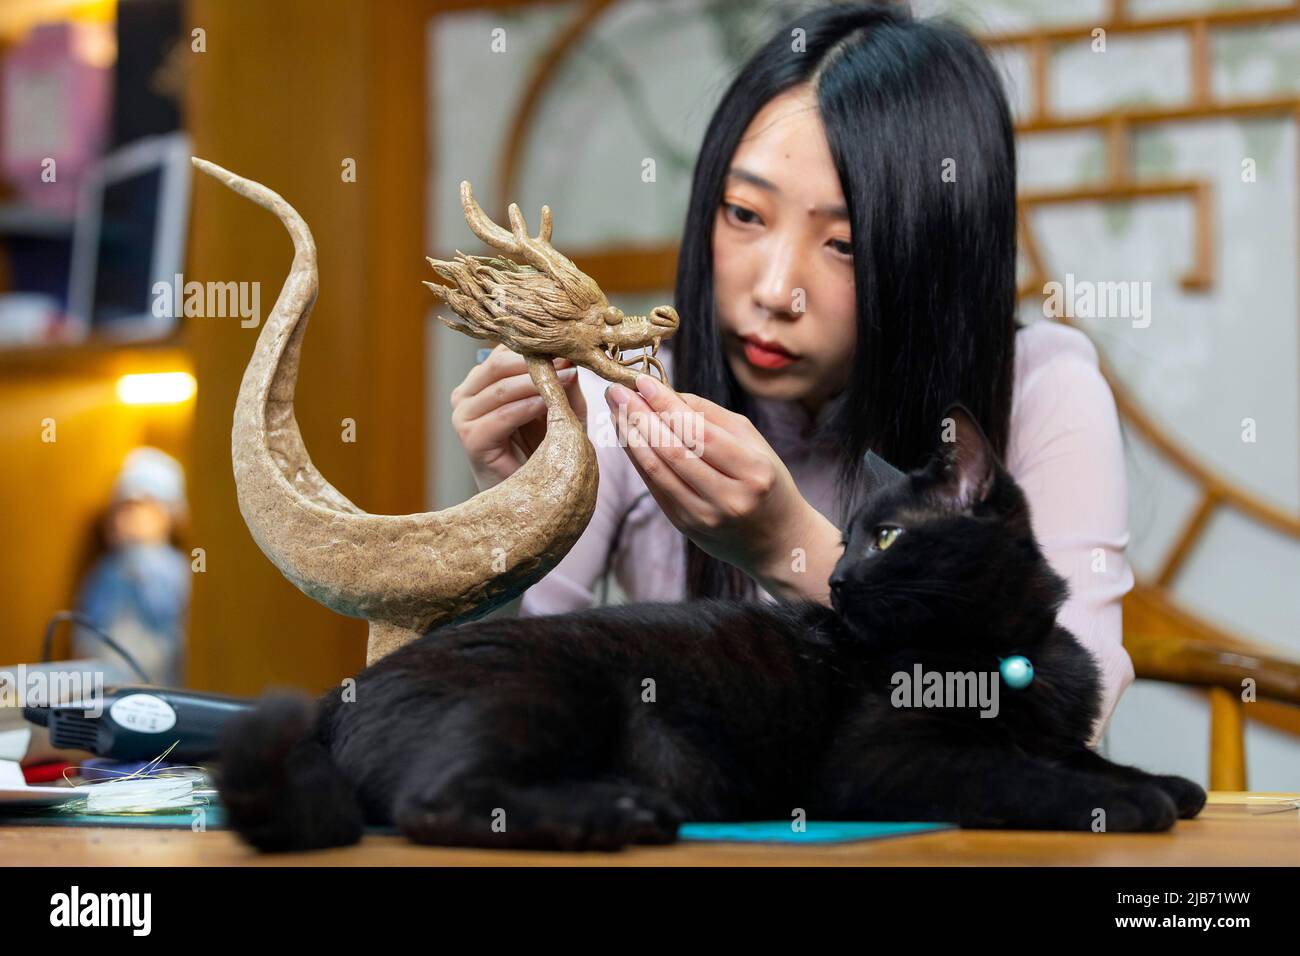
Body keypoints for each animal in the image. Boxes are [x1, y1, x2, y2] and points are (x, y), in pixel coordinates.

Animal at [218, 403, 1201, 853]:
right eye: (852, 536)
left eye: (883, 537)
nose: (836, 578)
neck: (1004, 652)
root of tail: (336, 699)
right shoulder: (882, 763)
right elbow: (1012, 773)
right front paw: (1121, 803)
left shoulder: (1053, 725)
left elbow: (1078, 755)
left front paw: (1160, 780)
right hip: (545, 687)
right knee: (441, 802)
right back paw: (612, 816)